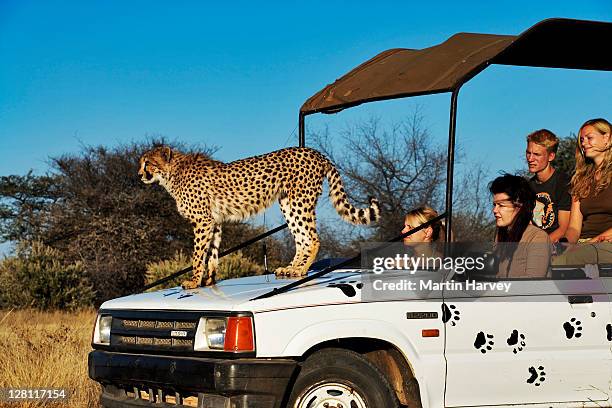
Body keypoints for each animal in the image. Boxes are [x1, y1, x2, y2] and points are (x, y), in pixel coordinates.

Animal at [140, 145, 378, 288]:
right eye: (141, 163)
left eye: (147, 163)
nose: (139, 174)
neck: (172, 173)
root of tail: (315, 152)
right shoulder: (214, 221)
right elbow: (213, 253)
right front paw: (209, 280)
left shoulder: (203, 220)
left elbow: (198, 255)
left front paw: (193, 281)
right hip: (288, 203)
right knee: (301, 238)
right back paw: (291, 269)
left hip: (300, 201)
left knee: (312, 238)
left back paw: (301, 269)